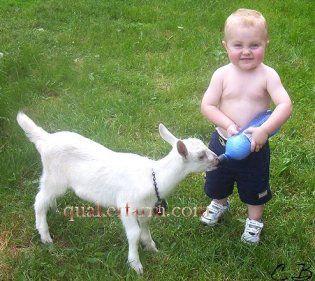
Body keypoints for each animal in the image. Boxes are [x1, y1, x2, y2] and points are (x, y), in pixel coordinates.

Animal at [16, 111, 220, 274]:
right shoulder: (126, 205)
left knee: (47, 198)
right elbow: (134, 233)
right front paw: (135, 264)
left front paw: (151, 247)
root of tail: (45, 139)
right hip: (55, 177)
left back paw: (54, 211)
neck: (153, 177)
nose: (218, 160)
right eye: (201, 156)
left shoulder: (145, 207)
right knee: (39, 200)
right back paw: (45, 236)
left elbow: (145, 225)